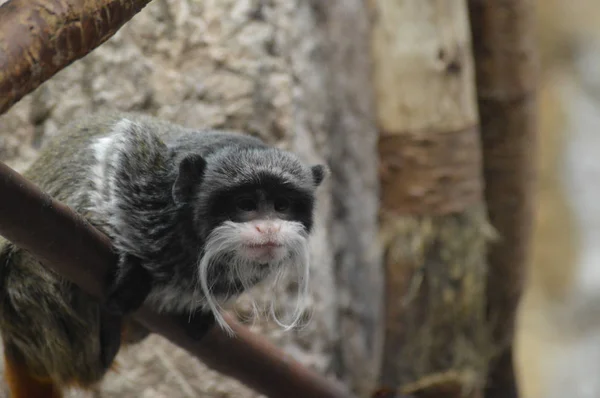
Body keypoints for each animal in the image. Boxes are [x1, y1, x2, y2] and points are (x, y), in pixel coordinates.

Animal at [0, 112, 328, 398]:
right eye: (246, 204)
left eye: (281, 205)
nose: (268, 228)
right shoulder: (144, 174)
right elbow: (115, 152)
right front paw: (128, 260)